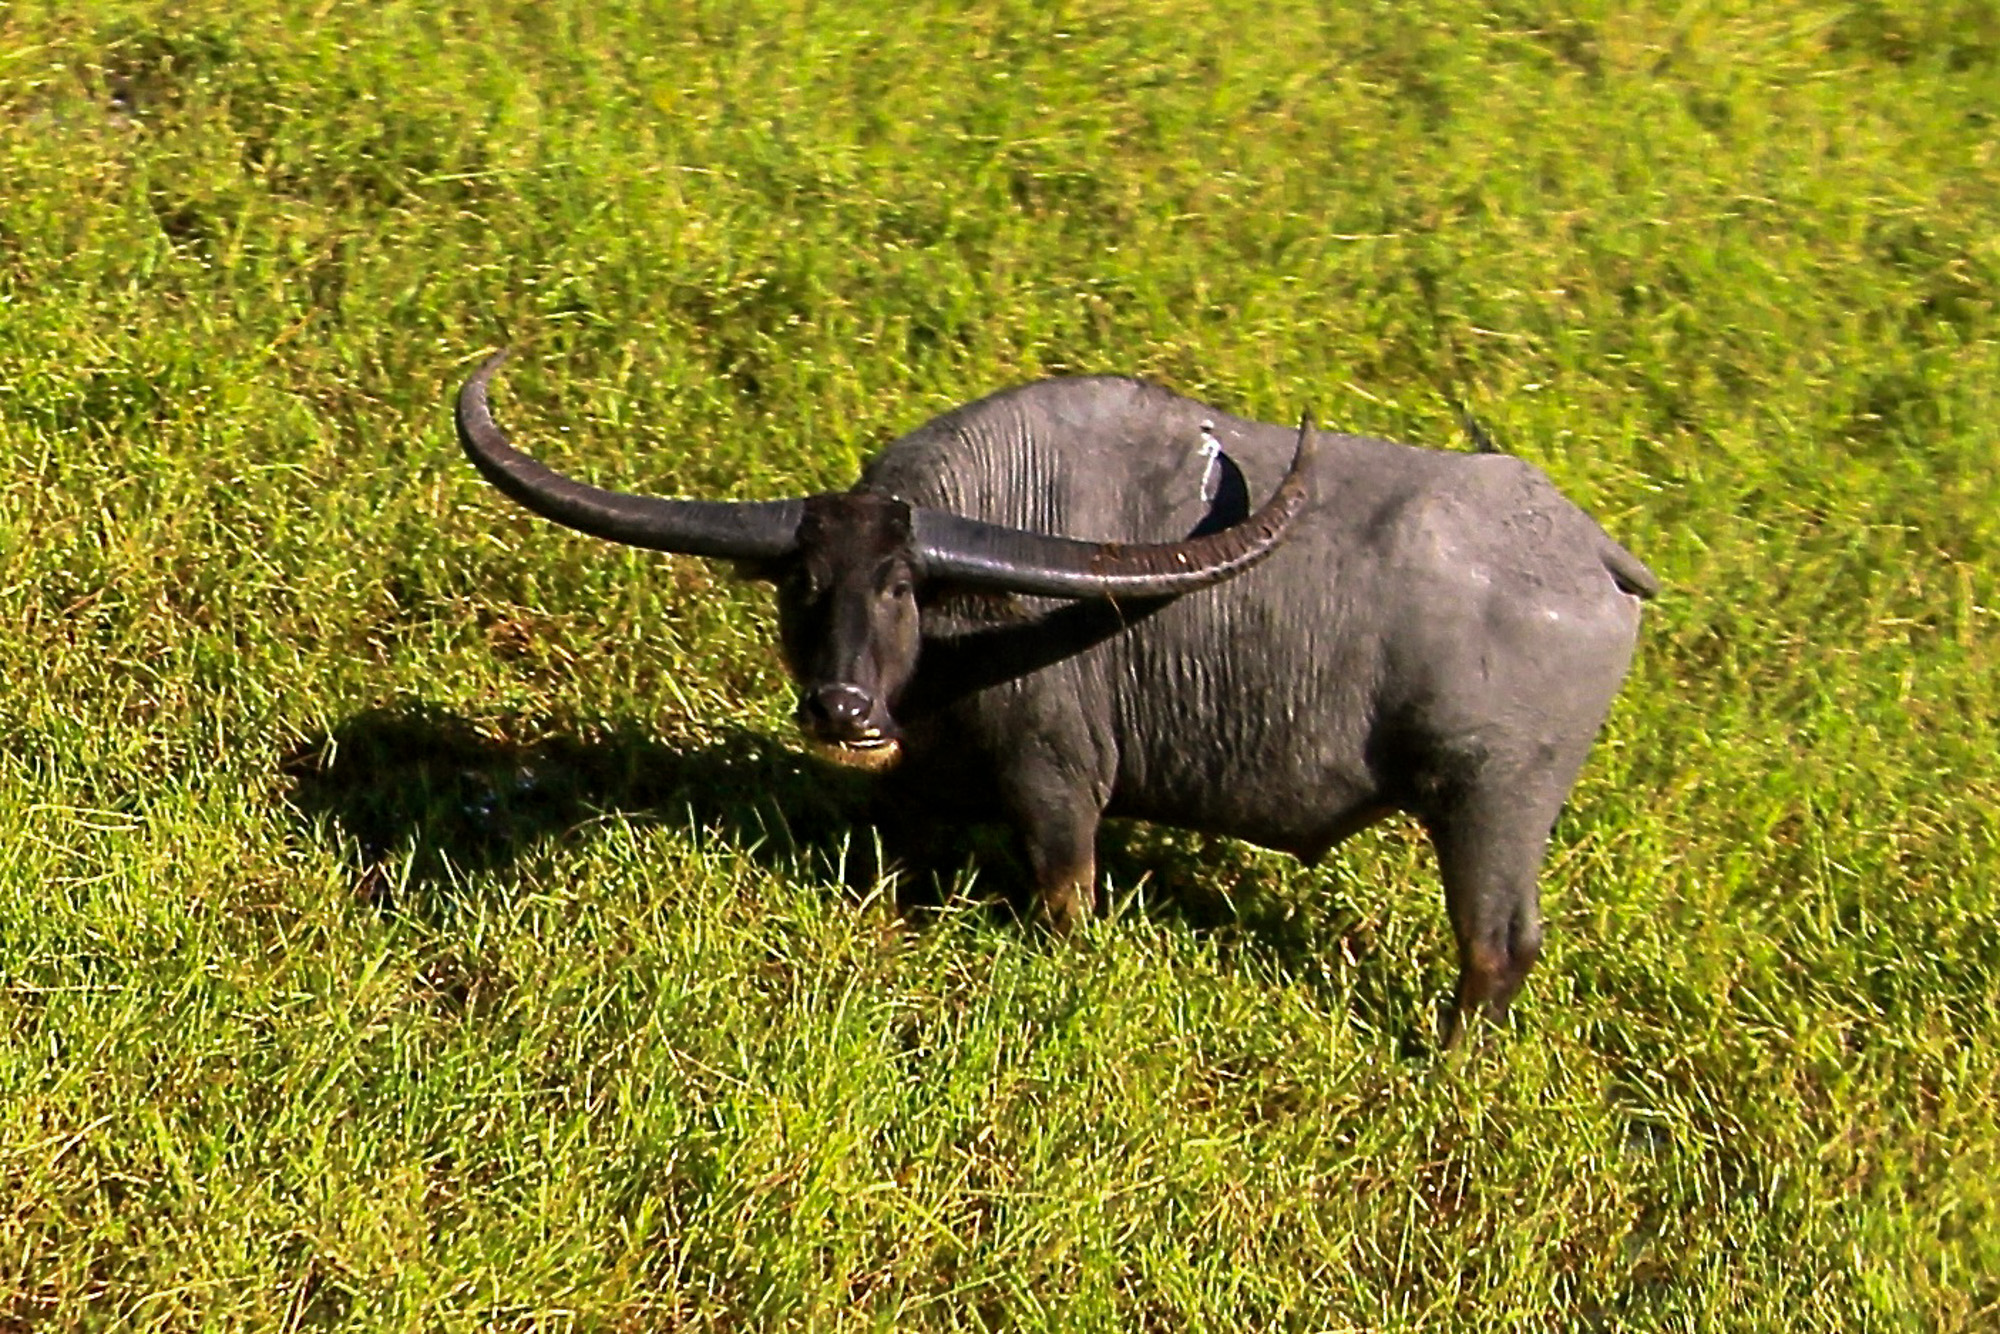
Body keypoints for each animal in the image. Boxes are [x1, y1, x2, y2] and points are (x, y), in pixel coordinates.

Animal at [454, 352, 1656, 1040]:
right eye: (802, 583)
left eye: (900, 586)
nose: (843, 711)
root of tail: (1588, 553)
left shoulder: (1057, 784)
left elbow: (1066, 897)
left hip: (1489, 803)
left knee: (1499, 947)